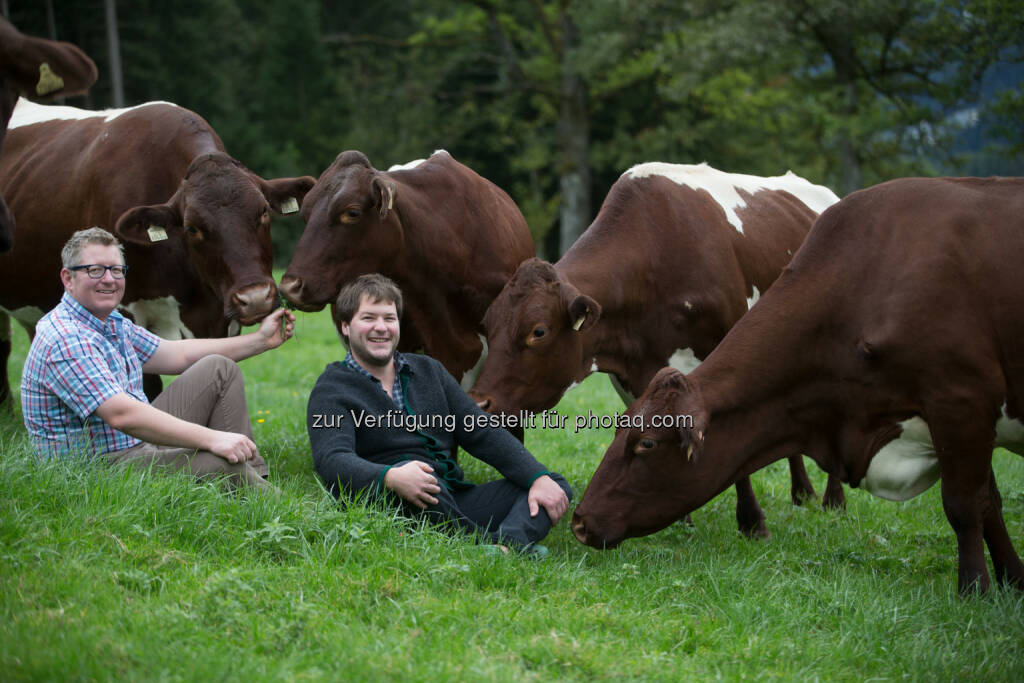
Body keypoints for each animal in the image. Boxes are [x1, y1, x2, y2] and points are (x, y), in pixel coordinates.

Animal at [468, 162, 843, 536]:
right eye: (487, 325)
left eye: (539, 331)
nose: (479, 403)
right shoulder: (632, 375)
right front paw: (679, 517)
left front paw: (751, 521)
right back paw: (803, 492)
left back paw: (832, 500)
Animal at [573, 176, 1024, 593]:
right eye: (618, 428)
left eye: (647, 443)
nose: (579, 522)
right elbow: (990, 502)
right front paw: (1013, 578)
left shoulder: (961, 402)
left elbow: (967, 506)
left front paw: (975, 589)